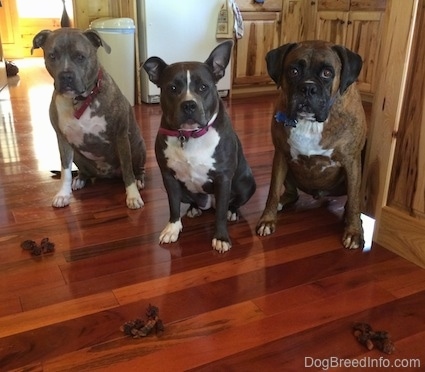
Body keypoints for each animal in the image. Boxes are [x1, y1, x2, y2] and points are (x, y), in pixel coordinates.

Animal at [256, 40, 366, 250]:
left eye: (327, 73)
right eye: (293, 71)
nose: (308, 88)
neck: (311, 123)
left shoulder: (352, 162)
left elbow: (355, 200)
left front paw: (354, 232)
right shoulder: (281, 155)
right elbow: (272, 191)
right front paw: (268, 220)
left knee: (352, 198)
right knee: (292, 193)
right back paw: (282, 202)